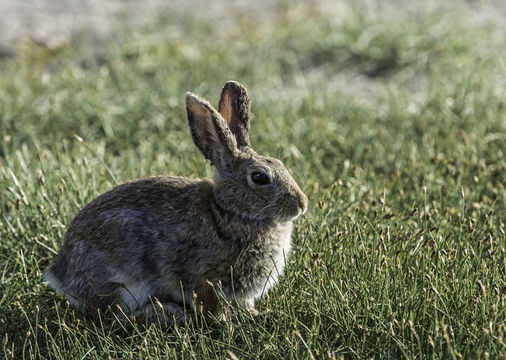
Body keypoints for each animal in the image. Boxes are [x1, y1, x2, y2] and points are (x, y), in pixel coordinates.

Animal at [44, 81, 308, 326]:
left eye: (281, 164)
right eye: (260, 177)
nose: (302, 204)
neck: (227, 211)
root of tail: (60, 274)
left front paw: (254, 313)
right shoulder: (204, 277)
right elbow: (208, 304)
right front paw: (224, 322)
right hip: (122, 281)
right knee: (115, 317)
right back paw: (166, 313)